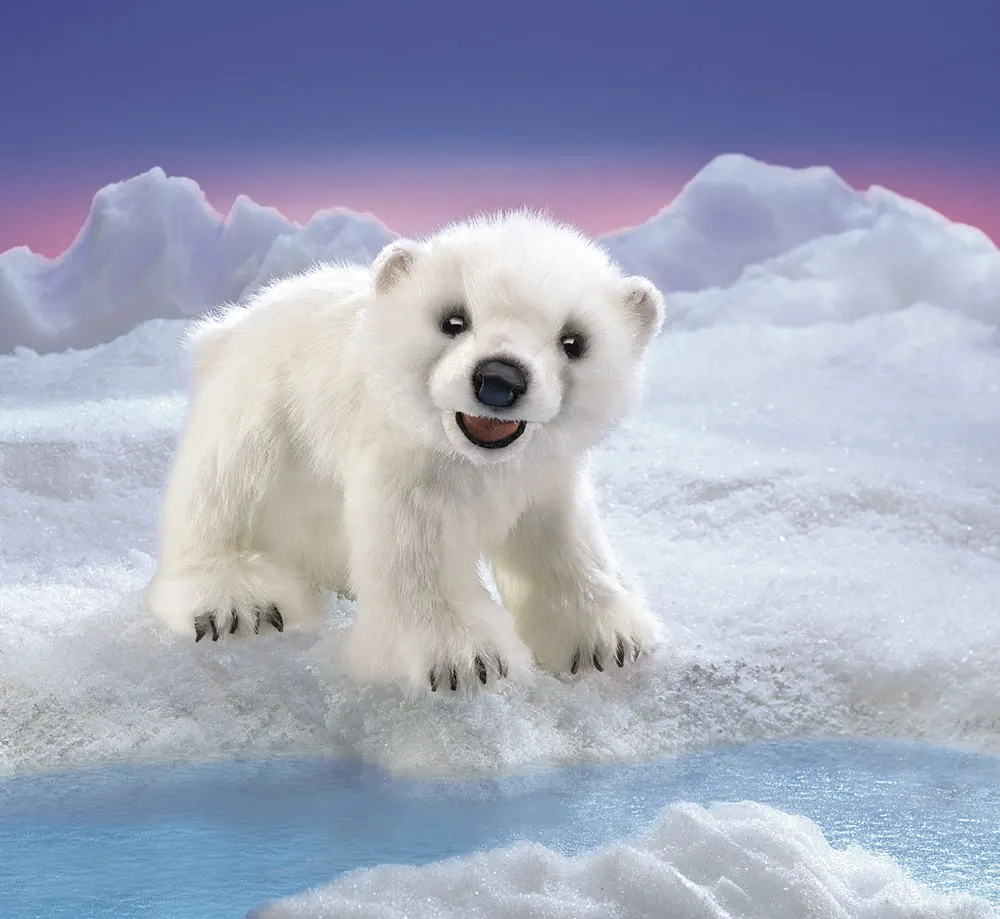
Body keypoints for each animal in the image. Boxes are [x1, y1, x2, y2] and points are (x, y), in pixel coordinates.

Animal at [144, 210, 665, 693]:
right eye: (453, 320)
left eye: (573, 341)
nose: (499, 379)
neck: (477, 463)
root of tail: (227, 327)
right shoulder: (408, 470)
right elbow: (416, 555)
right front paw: (467, 662)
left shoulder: (545, 477)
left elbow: (563, 540)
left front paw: (607, 642)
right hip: (264, 411)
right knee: (225, 489)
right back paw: (238, 603)